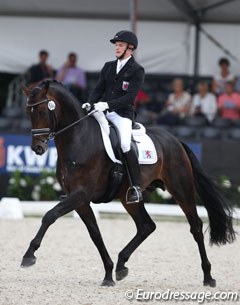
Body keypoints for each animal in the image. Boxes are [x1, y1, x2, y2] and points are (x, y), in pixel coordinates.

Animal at [21, 79, 235, 286]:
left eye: (42, 111)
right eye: (28, 113)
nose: (37, 148)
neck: (79, 139)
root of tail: (176, 140)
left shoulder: (81, 194)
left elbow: (49, 215)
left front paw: (29, 255)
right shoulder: (79, 199)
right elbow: (95, 233)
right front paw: (108, 274)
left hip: (181, 189)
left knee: (195, 226)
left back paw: (208, 276)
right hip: (129, 197)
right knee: (146, 226)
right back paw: (121, 265)